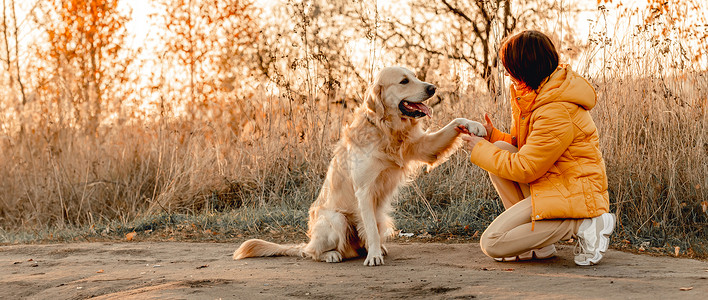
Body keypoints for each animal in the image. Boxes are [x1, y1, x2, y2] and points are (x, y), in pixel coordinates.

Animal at [232, 65, 486, 264]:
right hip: (336, 219)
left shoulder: (423, 147)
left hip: (383, 218)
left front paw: (474, 126)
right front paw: (373, 256)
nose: (432, 88)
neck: (385, 129)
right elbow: (370, 230)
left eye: (415, 76)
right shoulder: (364, 190)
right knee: (311, 252)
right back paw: (332, 254)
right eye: (404, 81)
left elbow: (454, 122)